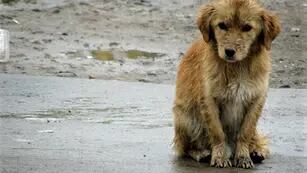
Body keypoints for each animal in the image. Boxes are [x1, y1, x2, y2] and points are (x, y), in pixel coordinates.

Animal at [173, 0, 282, 169]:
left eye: (247, 27)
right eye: (222, 25)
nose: (229, 51)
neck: (237, 67)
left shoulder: (256, 100)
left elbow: (245, 132)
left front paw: (243, 156)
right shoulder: (209, 100)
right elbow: (217, 133)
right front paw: (220, 156)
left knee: (256, 139)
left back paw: (255, 150)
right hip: (186, 117)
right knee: (185, 147)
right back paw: (201, 153)